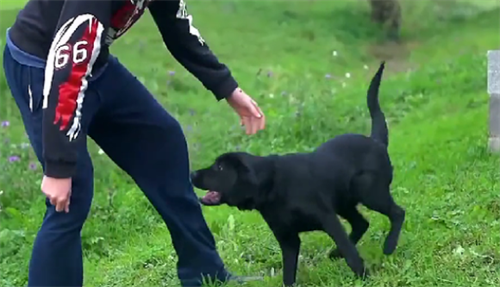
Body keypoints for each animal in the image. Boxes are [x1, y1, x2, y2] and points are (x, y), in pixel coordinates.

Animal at [189, 62, 404, 286]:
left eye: (220, 168)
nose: (192, 173)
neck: (273, 187)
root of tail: (376, 141)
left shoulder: (328, 219)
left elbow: (350, 252)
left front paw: (363, 276)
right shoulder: (288, 239)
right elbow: (288, 273)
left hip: (368, 191)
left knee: (397, 213)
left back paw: (388, 246)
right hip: (344, 201)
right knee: (362, 223)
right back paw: (335, 253)